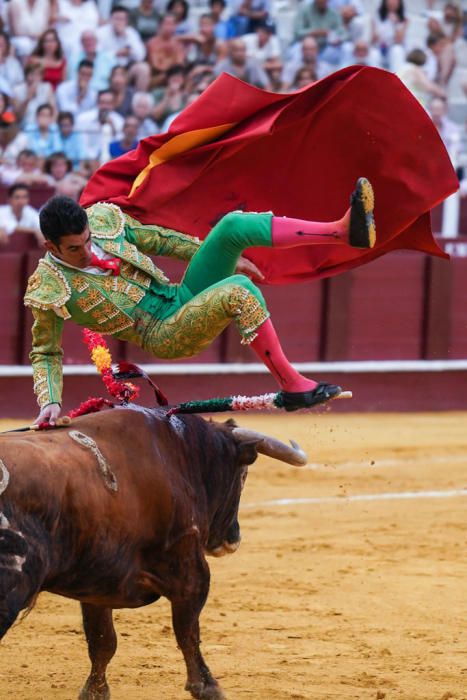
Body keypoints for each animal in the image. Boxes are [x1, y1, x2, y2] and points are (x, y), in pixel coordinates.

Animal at [0, 408, 308, 696]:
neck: (180, 454)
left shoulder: (97, 582)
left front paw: (95, 691)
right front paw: (207, 687)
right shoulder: (191, 570)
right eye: (243, 475)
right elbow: (187, 632)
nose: (234, 538)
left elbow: (102, 641)